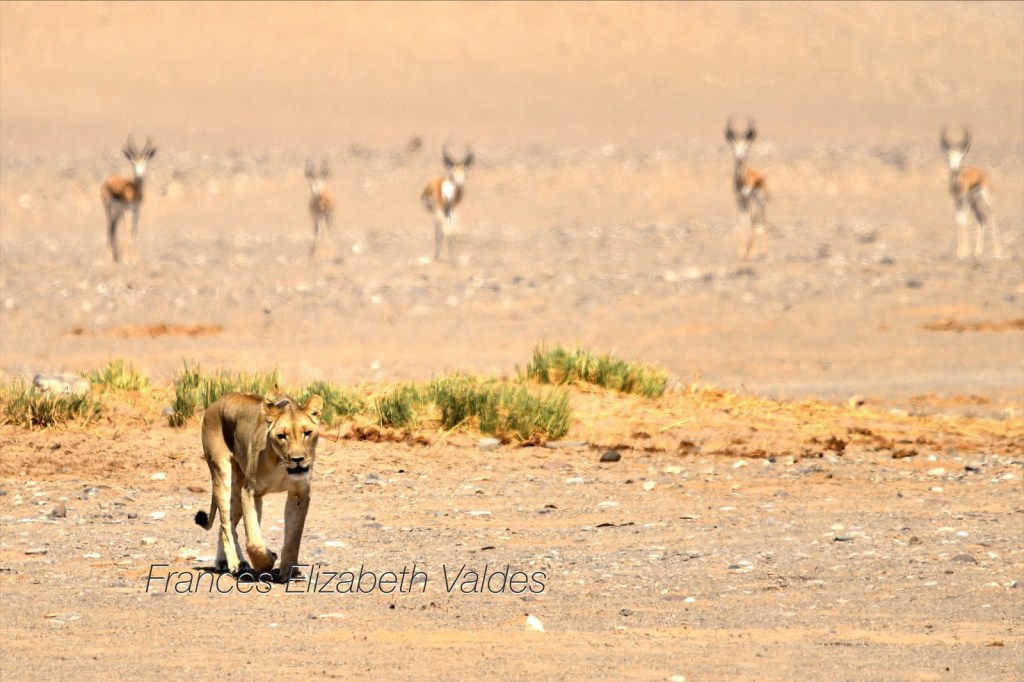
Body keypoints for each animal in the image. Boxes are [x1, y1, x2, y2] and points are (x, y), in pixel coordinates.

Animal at [100, 135, 157, 264]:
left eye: (144, 162)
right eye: (133, 163)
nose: (139, 175)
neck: (134, 191)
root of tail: (108, 180)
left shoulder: (136, 210)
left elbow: (133, 231)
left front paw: (135, 258)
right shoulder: (126, 210)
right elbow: (126, 230)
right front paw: (126, 259)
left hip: (117, 211)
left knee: (113, 227)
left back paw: (115, 257)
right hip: (109, 208)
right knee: (109, 226)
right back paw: (108, 258)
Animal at [193, 391, 324, 581]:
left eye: (307, 433)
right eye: (282, 436)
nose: (298, 459)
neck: (282, 464)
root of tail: (215, 402)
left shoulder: (300, 494)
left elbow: (293, 537)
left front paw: (288, 570)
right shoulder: (251, 492)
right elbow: (253, 538)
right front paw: (266, 562)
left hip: (237, 495)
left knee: (226, 526)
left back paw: (223, 562)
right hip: (224, 478)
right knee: (227, 527)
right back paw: (237, 564)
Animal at [724, 119, 768, 260]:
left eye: (746, 147)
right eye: (734, 147)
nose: (740, 157)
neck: (742, 181)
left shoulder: (749, 198)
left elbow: (750, 221)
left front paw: (750, 253)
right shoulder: (739, 200)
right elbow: (742, 222)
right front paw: (741, 252)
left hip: (760, 202)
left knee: (759, 220)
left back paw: (760, 251)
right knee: (756, 220)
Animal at [941, 127, 1001, 259]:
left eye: (961, 157)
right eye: (948, 156)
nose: (955, 168)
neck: (958, 185)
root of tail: (984, 173)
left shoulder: (964, 201)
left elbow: (965, 221)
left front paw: (964, 252)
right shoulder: (957, 202)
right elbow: (959, 221)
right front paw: (960, 252)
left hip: (985, 200)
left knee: (992, 217)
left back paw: (998, 252)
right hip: (974, 203)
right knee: (982, 218)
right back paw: (977, 251)